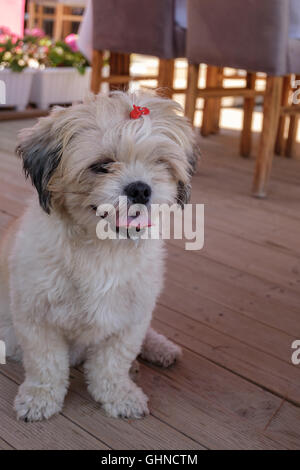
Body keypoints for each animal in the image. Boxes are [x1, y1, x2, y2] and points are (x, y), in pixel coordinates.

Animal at [0, 90, 199, 420]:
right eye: (102, 165)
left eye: (160, 162)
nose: (140, 188)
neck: (103, 248)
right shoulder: (37, 318)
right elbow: (46, 364)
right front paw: (40, 397)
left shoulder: (131, 318)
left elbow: (112, 364)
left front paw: (119, 394)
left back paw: (160, 349)